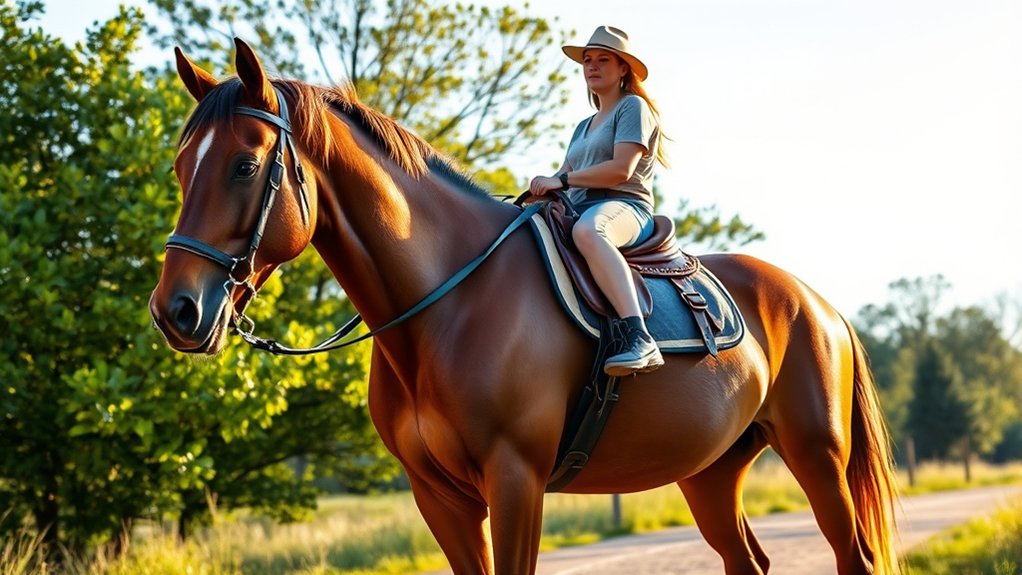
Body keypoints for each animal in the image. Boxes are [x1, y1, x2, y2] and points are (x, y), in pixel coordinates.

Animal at [149, 39, 900, 575]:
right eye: (182, 168)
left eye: (245, 166)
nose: (176, 310)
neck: (447, 306)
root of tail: (818, 304)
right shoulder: (440, 497)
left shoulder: (516, 481)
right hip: (711, 472)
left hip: (817, 455)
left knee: (854, 555)